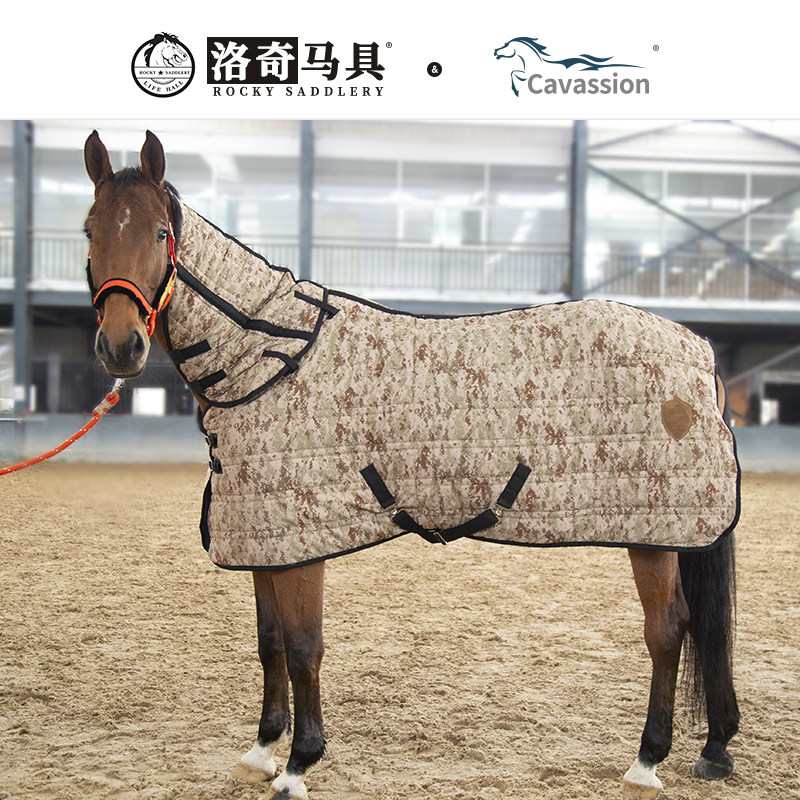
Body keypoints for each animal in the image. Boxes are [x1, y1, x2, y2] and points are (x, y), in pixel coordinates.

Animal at [81, 129, 740, 800]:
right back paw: (713, 747)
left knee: (668, 630)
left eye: (160, 232)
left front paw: (298, 764)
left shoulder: (302, 545)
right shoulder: (266, 539)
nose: (121, 347)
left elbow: (303, 647)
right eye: (90, 230)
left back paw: (647, 760)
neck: (269, 356)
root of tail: (699, 350)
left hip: (656, 532)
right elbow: (269, 644)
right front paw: (263, 749)